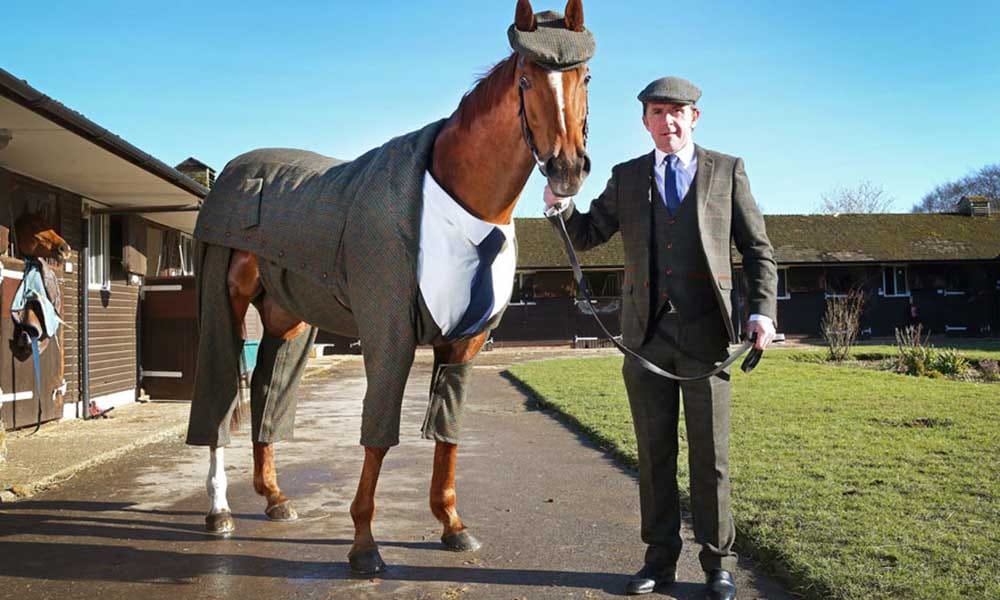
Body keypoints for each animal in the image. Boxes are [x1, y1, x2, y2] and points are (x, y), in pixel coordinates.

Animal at [193, 0, 593, 574]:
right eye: (525, 79)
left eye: (585, 76)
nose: (567, 169)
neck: (457, 204)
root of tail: (232, 172)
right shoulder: (389, 336)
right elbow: (378, 436)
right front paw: (364, 545)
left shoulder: (463, 344)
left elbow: (447, 434)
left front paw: (452, 525)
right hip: (223, 305)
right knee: (220, 398)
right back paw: (220, 510)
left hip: (287, 320)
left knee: (267, 394)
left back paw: (274, 498)